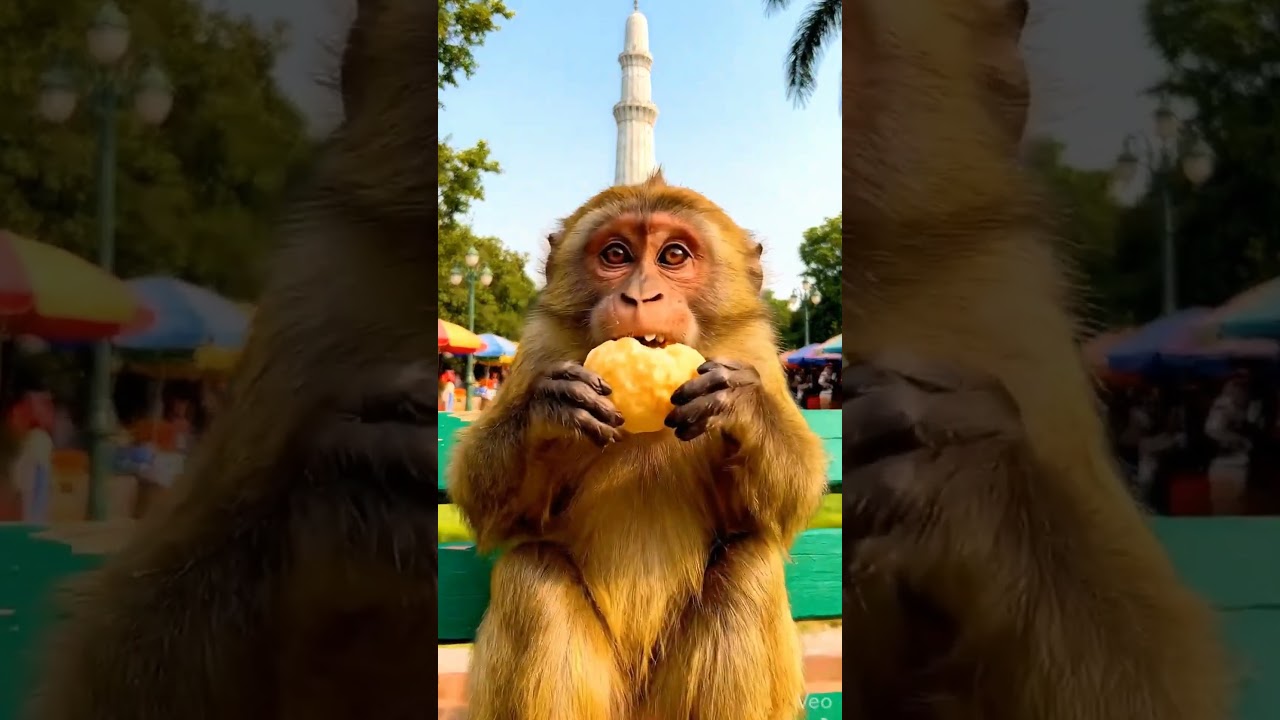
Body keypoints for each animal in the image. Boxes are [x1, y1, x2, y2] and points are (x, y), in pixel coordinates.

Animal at [447, 172, 830, 720]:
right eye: (616, 254)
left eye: (673, 255)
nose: (640, 296)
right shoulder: (539, 349)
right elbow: (494, 510)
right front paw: (550, 406)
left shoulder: (754, 351)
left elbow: (780, 509)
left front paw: (742, 404)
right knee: (531, 574)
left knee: (750, 569)